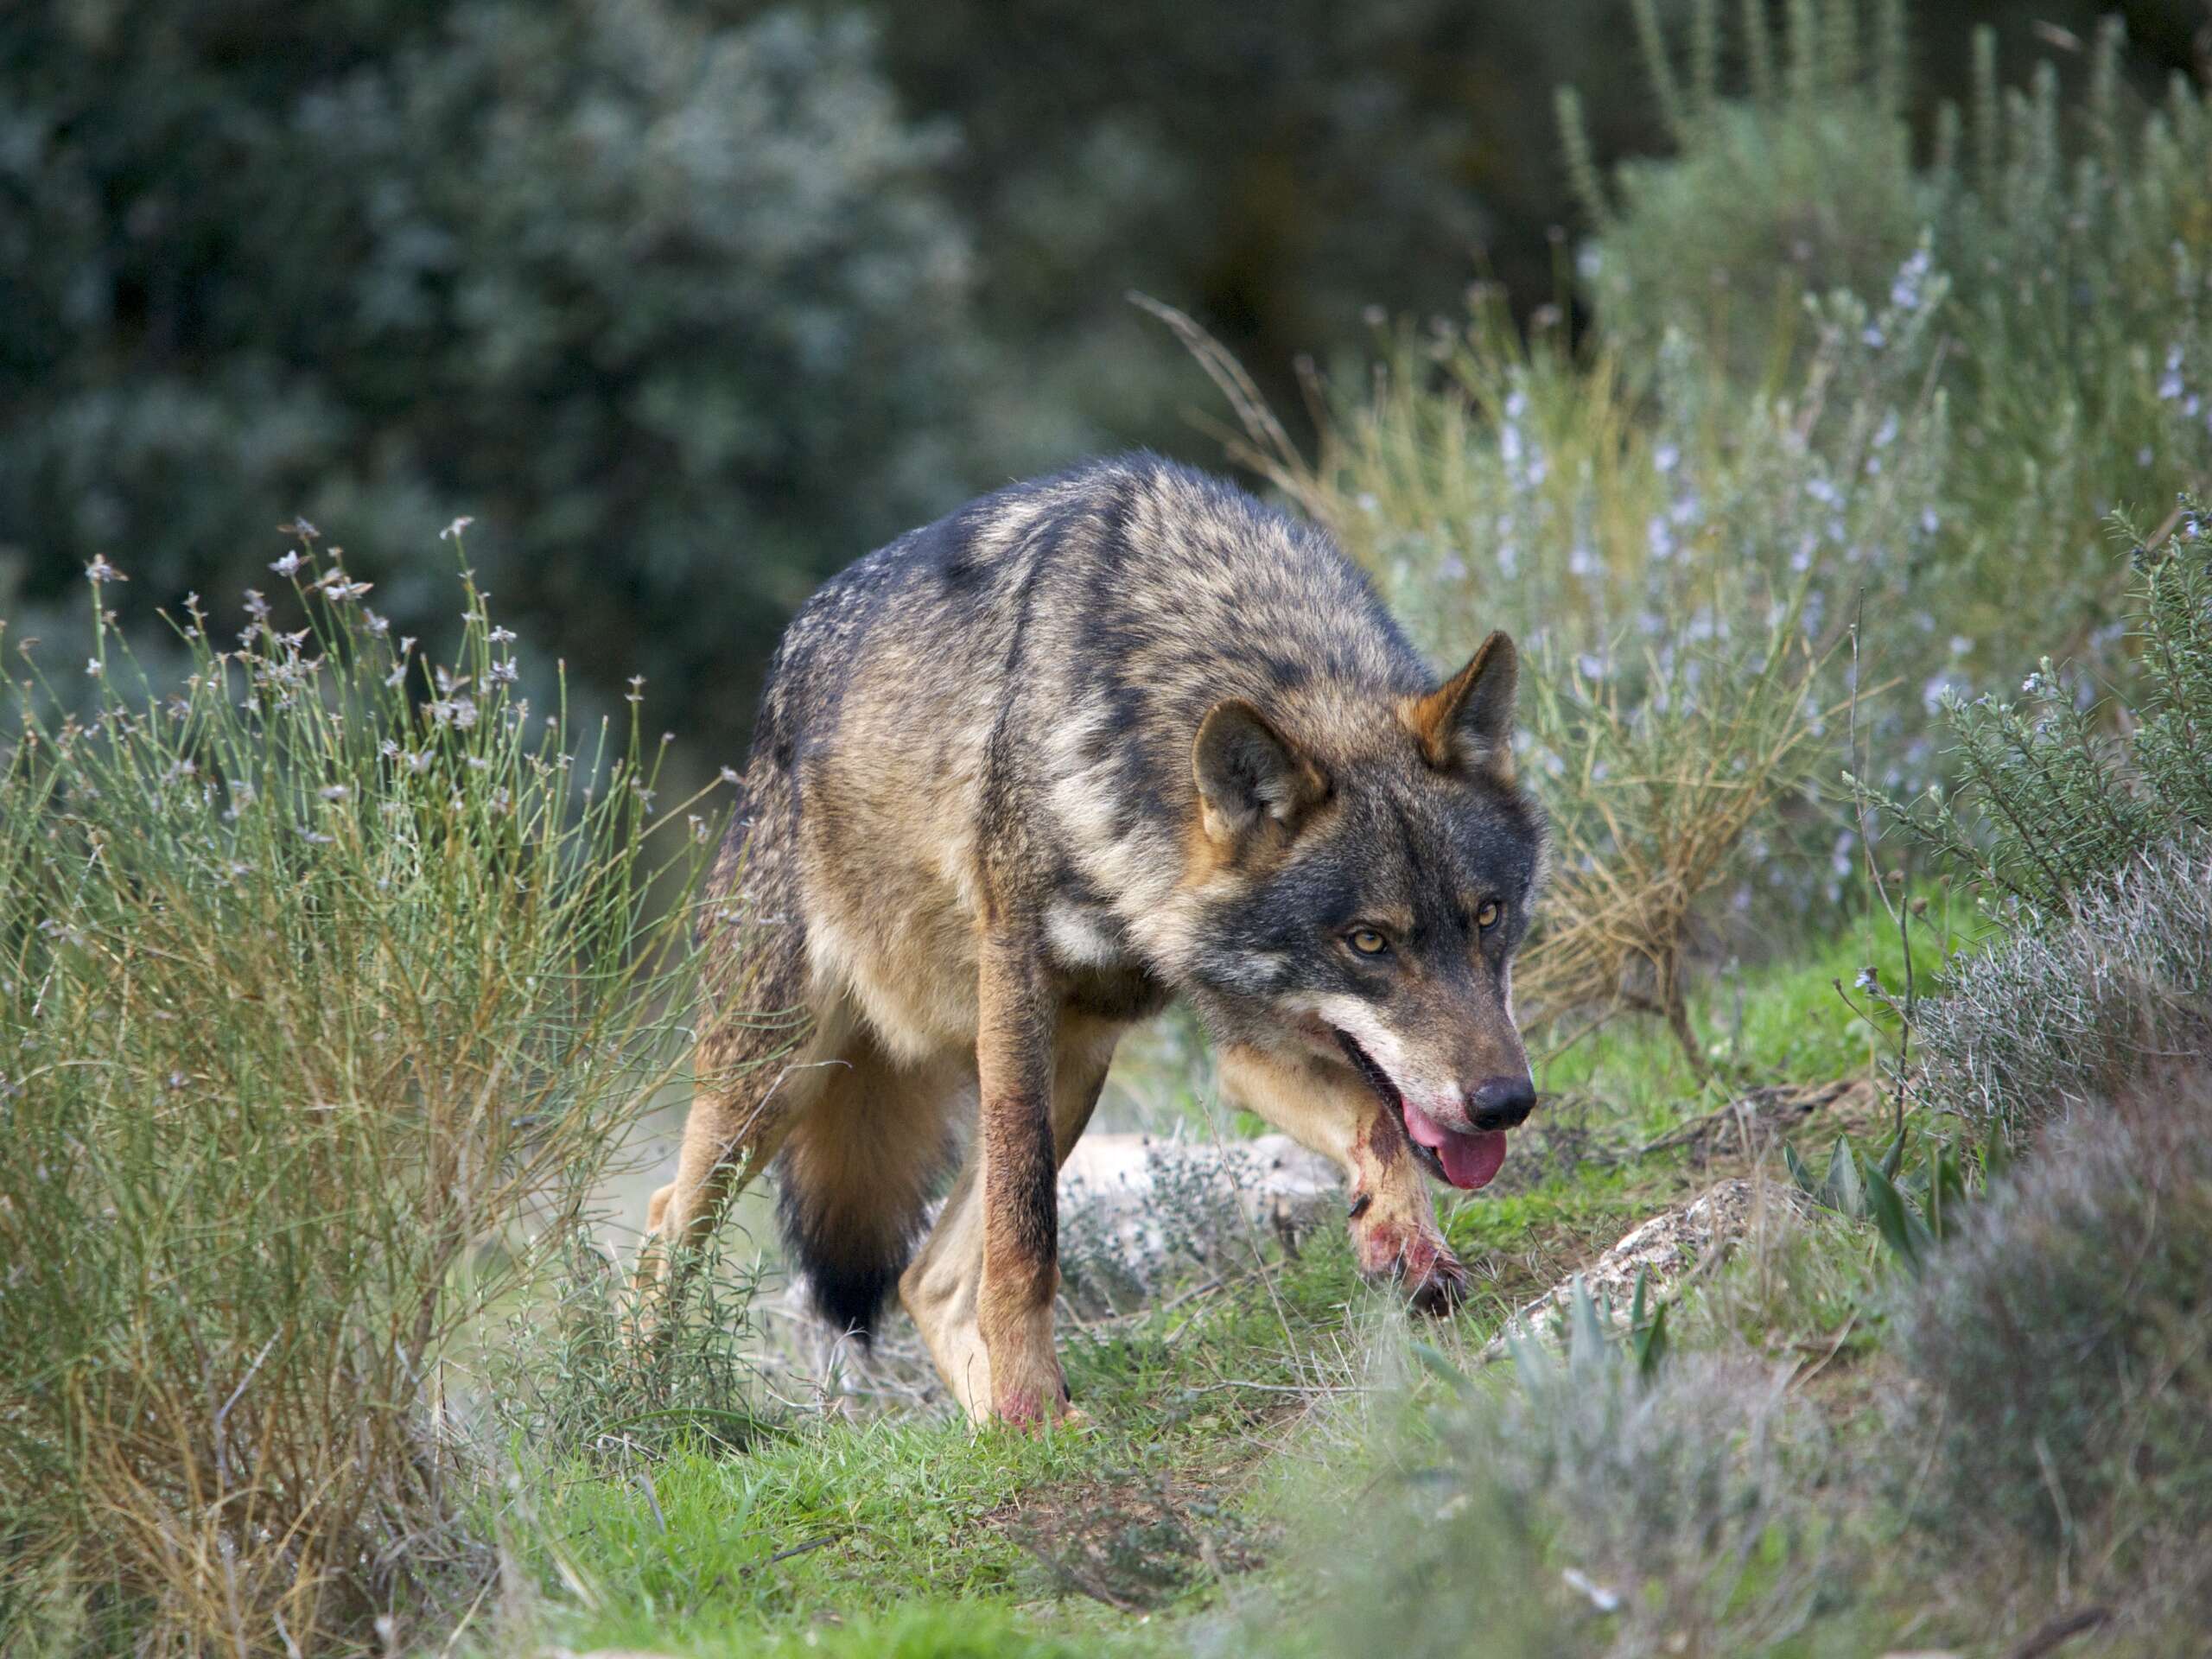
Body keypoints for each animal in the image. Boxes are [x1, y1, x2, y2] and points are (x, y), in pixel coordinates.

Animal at [641, 455, 1539, 1433]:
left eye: (1487, 916)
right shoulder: (1018, 981)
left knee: (926, 1280)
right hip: (782, 1079)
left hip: (1072, 1066)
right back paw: (640, 1409)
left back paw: (1005, 1432)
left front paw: (1403, 1242)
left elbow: (1378, 1124)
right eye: (1369, 941)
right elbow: (1027, 1235)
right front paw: (1032, 1394)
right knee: (664, 1224)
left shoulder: (1246, 1041)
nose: (1505, 1103)